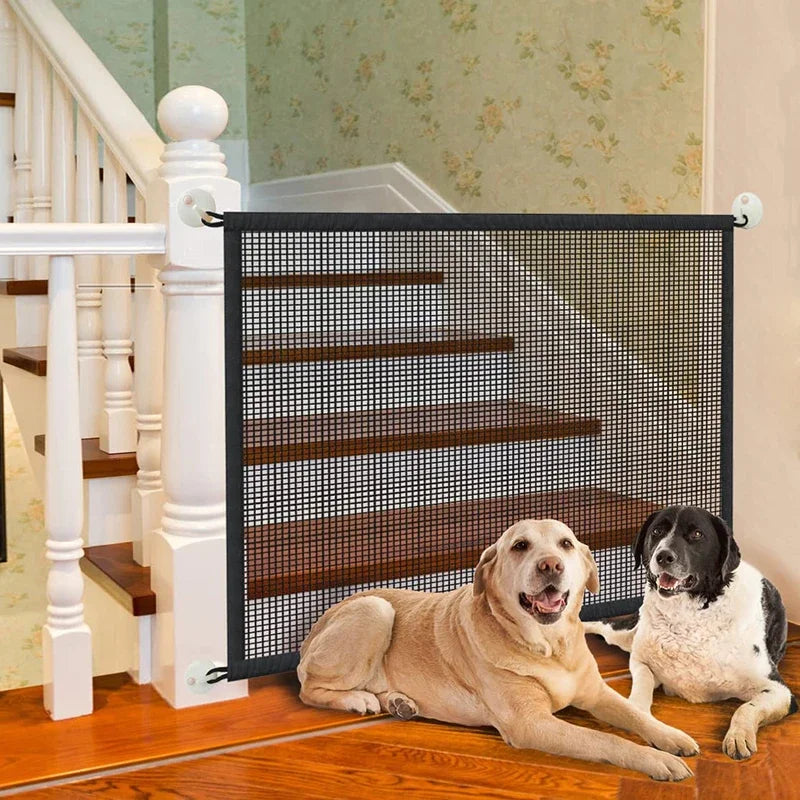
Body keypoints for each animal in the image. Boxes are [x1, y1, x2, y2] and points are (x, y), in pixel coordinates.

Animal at [296, 520, 696, 780]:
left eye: (566, 544)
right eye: (520, 546)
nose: (551, 565)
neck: (548, 647)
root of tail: (314, 628)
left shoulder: (596, 693)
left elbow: (637, 716)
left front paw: (672, 737)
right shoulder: (530, 724)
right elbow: (605, 739)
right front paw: (657, 761)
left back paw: (399, 702)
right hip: (376, 610)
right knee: (308, 689)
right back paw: (357, 699)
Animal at [584, 510, 796, 760]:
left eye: (697, 534)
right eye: (657, 531)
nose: (663, 556)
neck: (689, 616)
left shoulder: (779, 691)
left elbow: (745, 709)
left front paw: (738, 736)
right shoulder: (641, 661)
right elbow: (641, 687)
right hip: (624, 635)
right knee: (599, 624)